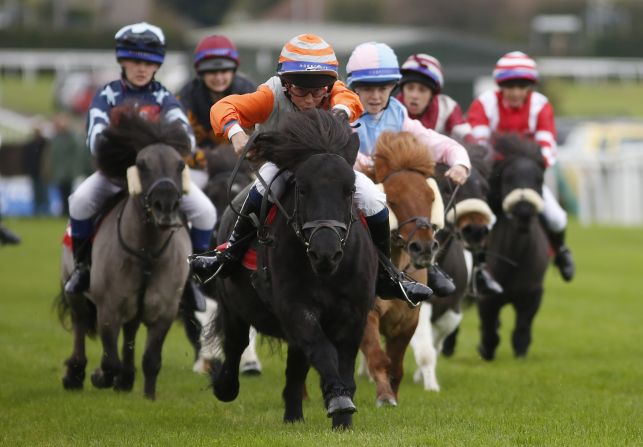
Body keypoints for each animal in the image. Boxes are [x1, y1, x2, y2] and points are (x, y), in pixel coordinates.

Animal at [209, 108, 380, 430]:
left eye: (349, 189)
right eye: (303, 189)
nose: (325, 252)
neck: (326, 274)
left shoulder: (354, 313)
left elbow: (343, 362)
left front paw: (342, 417)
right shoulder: (296, 308)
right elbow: (323, 351)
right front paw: (338, 400)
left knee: (295, 368)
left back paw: (293, 415)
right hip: (233, 308)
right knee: (236, 346)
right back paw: (224, 386)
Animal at [478, 136, 548, 360]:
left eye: (539, 179)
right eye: (508, 178)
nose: (524, 211)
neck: (515, 261)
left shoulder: (532, 294)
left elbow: (522, 329)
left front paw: (521, 352)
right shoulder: (487, 296)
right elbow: (489, 329)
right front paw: (486, 349)